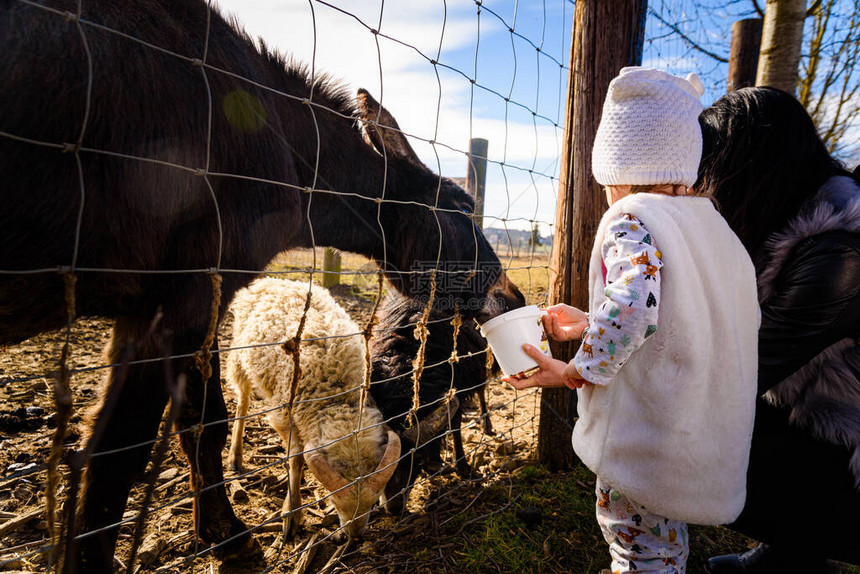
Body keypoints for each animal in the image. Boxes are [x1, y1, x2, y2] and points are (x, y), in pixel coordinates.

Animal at [225, 276, 400, 544]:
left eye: (370, 504)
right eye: (334, 499)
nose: (355, 537)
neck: (336, 395)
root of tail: (271, 280)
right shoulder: (285, 416)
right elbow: (295, 460)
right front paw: (291, 514)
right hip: (239, 355)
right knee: (243, 401)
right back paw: (235, 456)